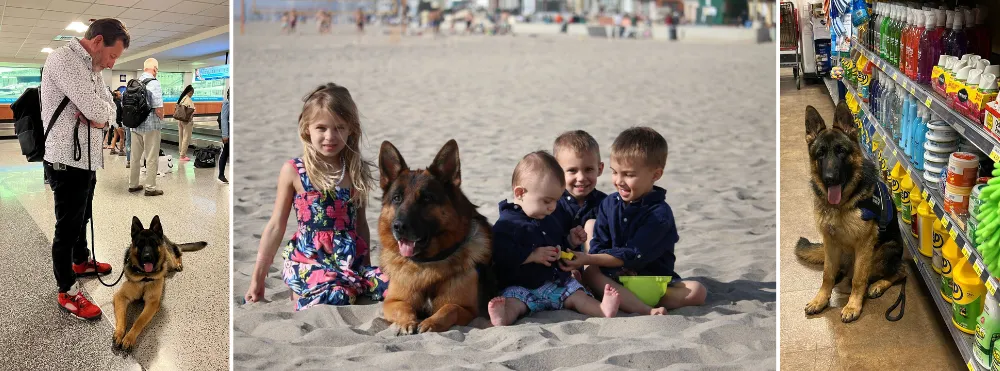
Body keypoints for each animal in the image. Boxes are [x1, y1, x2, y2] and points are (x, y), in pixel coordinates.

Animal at [113, 215, 207, 352]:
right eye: (140, 244)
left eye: (153, 243)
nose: (147, 257)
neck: (145, 278)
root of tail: (164, 237)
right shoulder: (120, 297)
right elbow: (122, 318)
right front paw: (120, 333)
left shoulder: (152, 303)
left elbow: (139, 321)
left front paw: (129, 338)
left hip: (169, 259)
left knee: (177, 252)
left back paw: (178, 263)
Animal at [376, 140, 494, 338]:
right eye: (397, 198)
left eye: (426, 199)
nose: (398, 227)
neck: (426, 263)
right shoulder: (393, 301)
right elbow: (404, 309)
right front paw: (407, 322)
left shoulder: (467, 309)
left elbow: (449, 308)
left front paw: (430, 322)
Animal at [796, 101, 908, 322]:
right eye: (820, 153)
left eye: (841, 151)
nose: (830, 178)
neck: (841, 205)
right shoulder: (830, 241)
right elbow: (827, 275)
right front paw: (821, 300)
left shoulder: (864, 246)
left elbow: (859, 279)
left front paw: (853, 305)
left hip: (884, 250)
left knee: (900, 271)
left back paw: (877, 285)